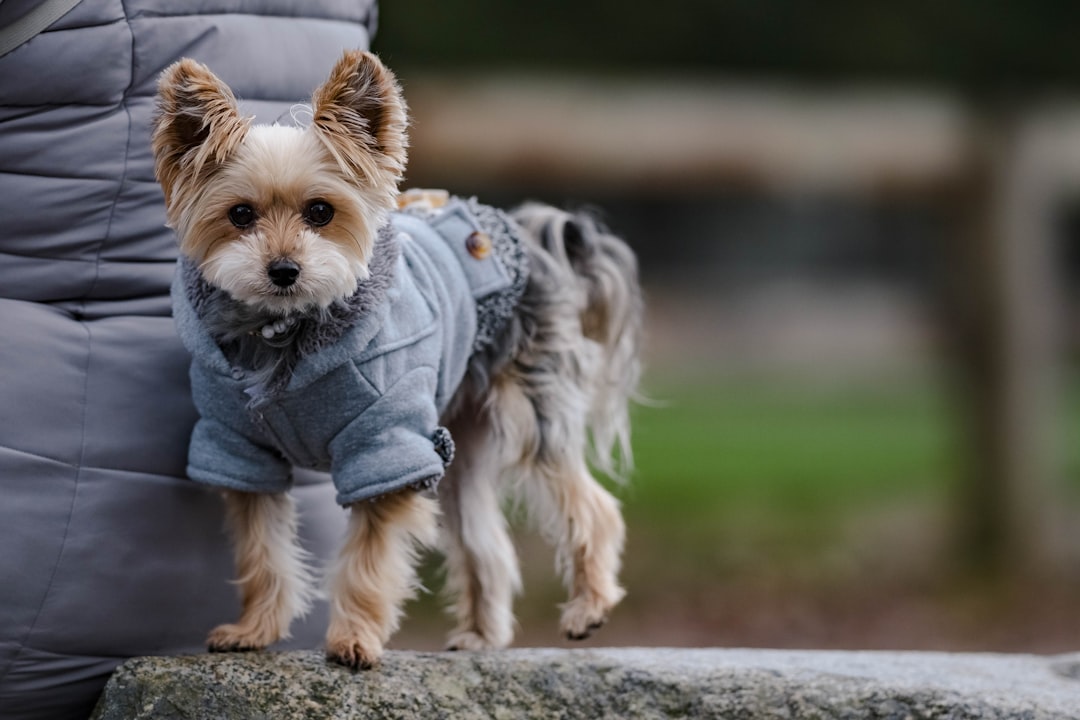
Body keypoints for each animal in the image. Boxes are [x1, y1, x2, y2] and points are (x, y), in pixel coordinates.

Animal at [152, 50, 639, 669]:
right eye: (239, 215)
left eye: (320, 211)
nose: (283, 270)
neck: (284, 334)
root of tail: (529, 236)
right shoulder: (240, 448)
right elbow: (261, 551)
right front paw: (254, 631)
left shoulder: (384, 448)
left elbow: (367, 559)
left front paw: (354, 640)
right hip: (455, 441)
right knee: (484, 540)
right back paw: (480, 635)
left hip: (529, 413)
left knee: (595, 506)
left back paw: (588, 607)